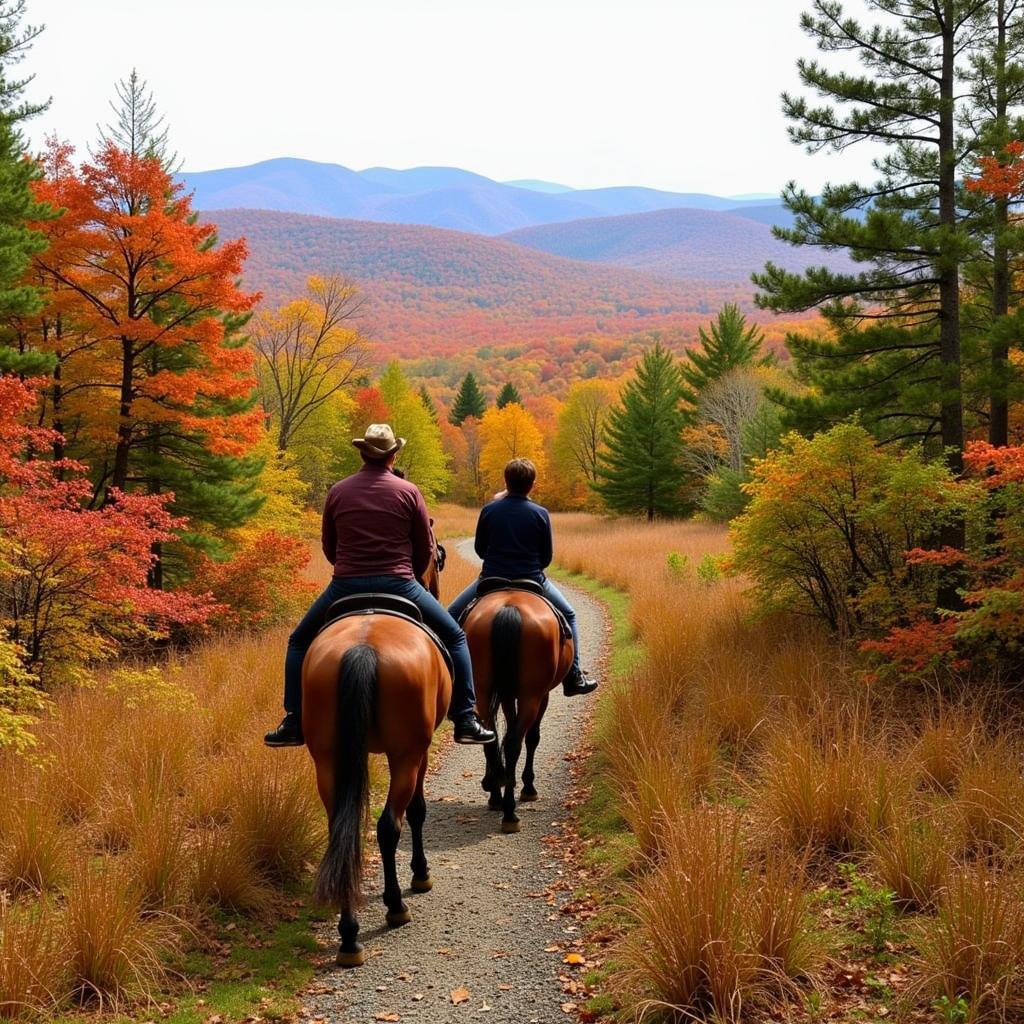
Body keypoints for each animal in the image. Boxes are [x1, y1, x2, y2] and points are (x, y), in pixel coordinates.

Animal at [301, 548, 450, 962]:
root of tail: (363, 646)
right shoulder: (421, 752)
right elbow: (417, 812)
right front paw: (420, 873)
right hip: (406, 755)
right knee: (388, 826)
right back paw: (396, 906)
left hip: (328, 759)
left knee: (342, 828)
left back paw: (349, 934)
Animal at [460, 589, 573, 835]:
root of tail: (508, 609)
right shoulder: (541, 695)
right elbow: (532, 738)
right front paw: (528, 787)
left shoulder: (506, 693)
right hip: (532, 695)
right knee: (515, 743)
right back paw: (510, 812)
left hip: (483, 690)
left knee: (492, 738)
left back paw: (496, 795)